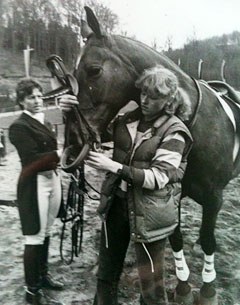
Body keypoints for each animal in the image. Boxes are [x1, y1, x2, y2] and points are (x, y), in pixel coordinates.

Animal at [60, 5, 240, 304]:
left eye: (94, 70)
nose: (73, 141)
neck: (195, 127)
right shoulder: (173, 194)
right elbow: (176, 237)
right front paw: (183, 286)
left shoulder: (215, 199)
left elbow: (208, 240)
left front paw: (207, 289)